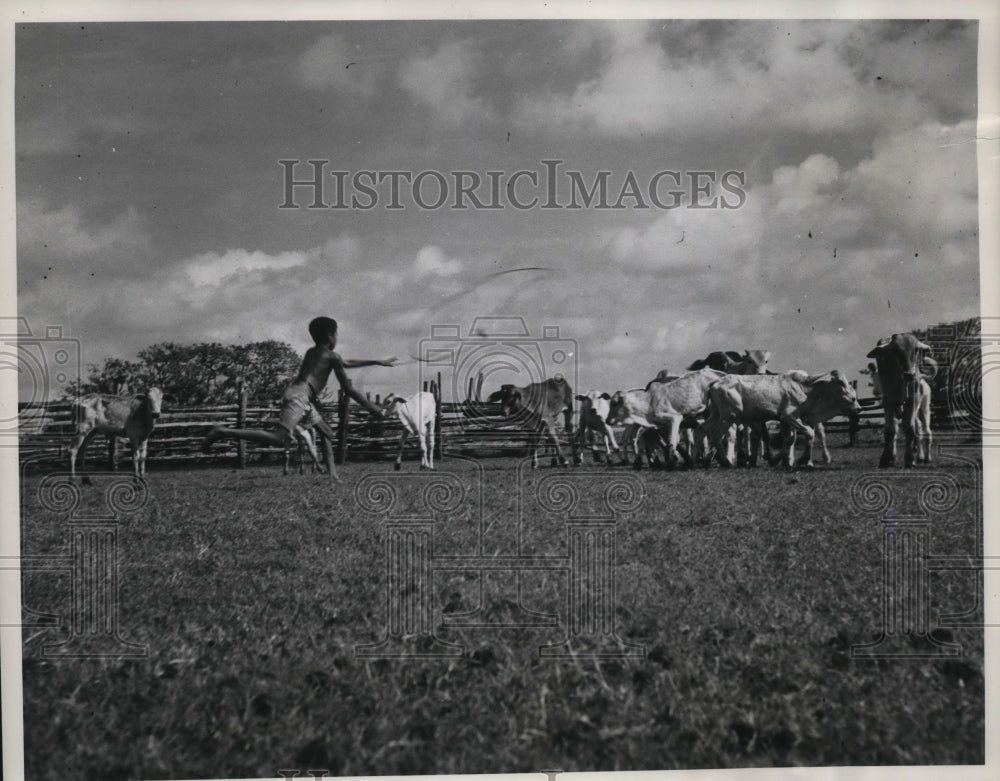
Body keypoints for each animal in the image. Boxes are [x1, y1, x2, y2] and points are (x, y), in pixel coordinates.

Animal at [704, 368, 860, 466]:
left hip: (716, 415)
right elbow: (809, 432)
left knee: (704, 429)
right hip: (729, 416)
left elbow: (791, 439)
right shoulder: (788, 416)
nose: (856, 404)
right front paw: (802, 460)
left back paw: (706, 459)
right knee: (716, 434)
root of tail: (716, 382)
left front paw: (777, 460)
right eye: (840, 382)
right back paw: (725, 461)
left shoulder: (790, 420)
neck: (805, 388)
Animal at [868, 332, 936, 466]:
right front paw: (887, 458)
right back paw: (919, 456)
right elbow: (890, 430)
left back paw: (927, 457)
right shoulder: (888, 400)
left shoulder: (912, 400)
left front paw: (909, 459)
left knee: (925, 431)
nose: (910, 374)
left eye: (916, 350)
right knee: (916, 430)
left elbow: (909, 428)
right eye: (896, 350)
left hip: (924, 408)